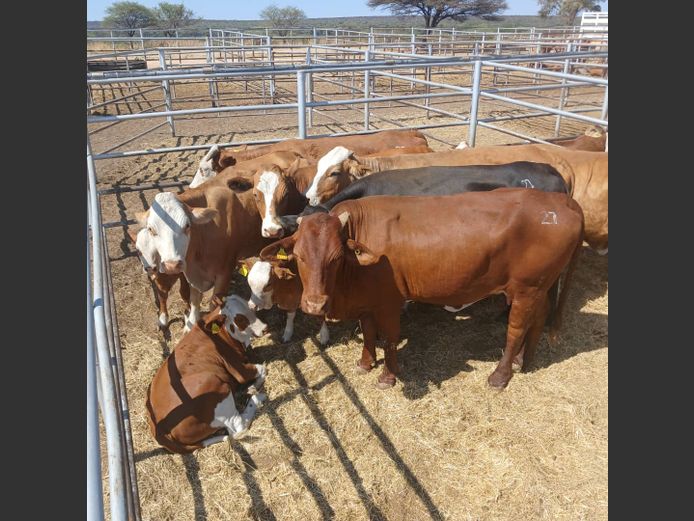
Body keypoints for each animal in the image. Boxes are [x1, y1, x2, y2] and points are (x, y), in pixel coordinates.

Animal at [146, 295, 269, 454]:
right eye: (240, 319)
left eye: (250, 308)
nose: (265, 328)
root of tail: (159, 430)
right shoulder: (239, 370)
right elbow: (262, 368)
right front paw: (253, 387)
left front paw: (249, 388)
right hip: (215, 386)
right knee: (238, 428)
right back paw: (257, 398)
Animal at [260, 189, 584, 389]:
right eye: (299, 255)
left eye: (336, 257)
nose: (314, 305)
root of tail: (561, 201)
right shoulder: (368, 302)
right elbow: (368, 332)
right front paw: (365, 363)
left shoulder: (389, 302)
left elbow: (390, 339)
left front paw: (388, 376)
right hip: (539, 288)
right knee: (538, 317)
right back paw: (523, 361)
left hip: (526, 289)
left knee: (516, 329)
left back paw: (500, 375)